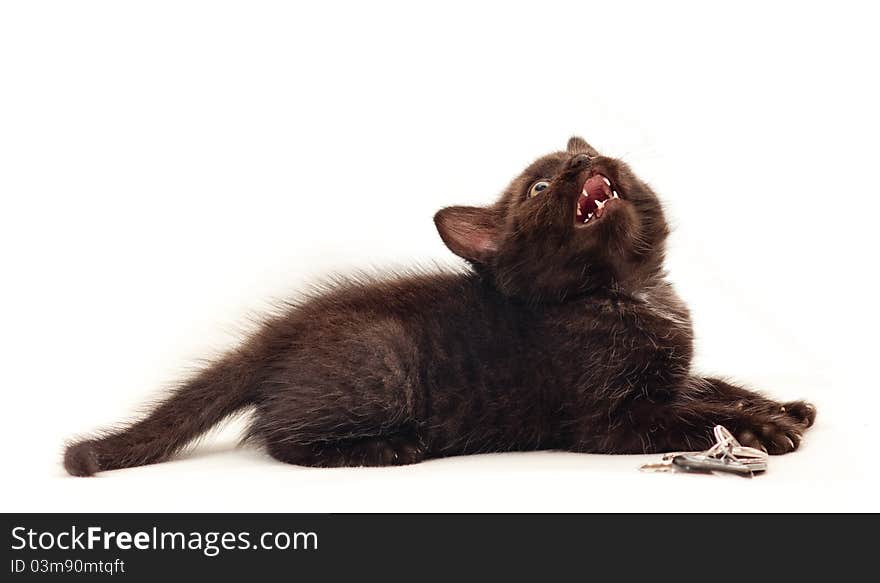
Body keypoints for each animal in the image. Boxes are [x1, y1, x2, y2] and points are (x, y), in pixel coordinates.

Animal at [63, 139, 820, 476]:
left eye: (592, 158)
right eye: (540, 185)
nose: (583, 163)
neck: (625, 289)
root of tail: (281, 330)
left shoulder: (669, 371)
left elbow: (711, 381)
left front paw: (781, 405)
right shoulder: (610, 417)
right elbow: (692, 410)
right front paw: (760, 429)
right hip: (381, 362)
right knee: (280, 438)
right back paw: (388, 447)